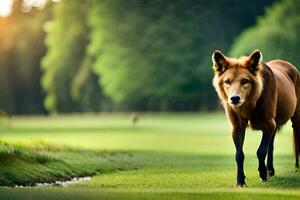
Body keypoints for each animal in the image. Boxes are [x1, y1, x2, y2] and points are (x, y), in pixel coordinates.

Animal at [211, 49, 300, 187]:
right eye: (227, 81)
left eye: (245, 81)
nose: (234, 98)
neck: (250, 104)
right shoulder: (237, 127)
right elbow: (239, 155)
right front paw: (240, 181)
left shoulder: (269, 124)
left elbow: (261, 151)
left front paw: (262, 173)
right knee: (271, 146)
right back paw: (270, 170)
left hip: (295, 119)